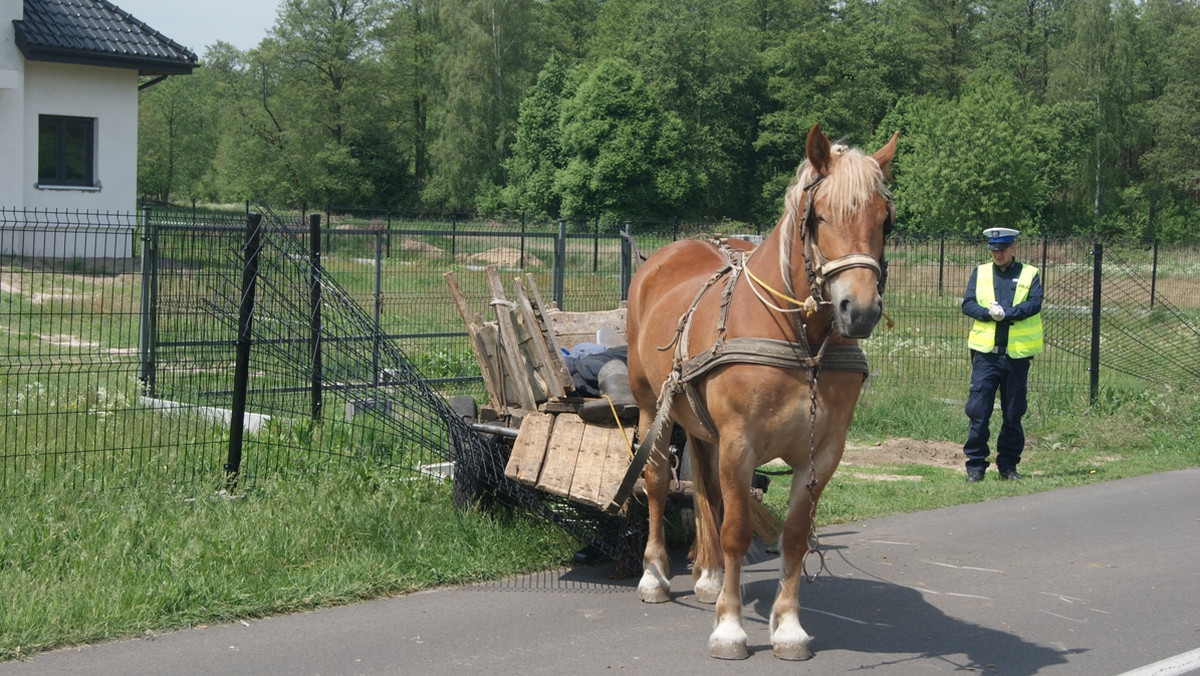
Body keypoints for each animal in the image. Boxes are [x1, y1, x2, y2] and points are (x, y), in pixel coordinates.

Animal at [624, 125, 897, 662]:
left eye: (885, 220)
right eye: (819, 216)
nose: (860, 310)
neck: (801, 340)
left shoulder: (823, 452)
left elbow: (793, 537)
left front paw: (788, 628)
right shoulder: (740, 444)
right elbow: (736, 530)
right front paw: (729, 628)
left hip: (701, 426)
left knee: (704, 490)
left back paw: (708, 576)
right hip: (652, 408)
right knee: (659, 482)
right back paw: (655, 575)